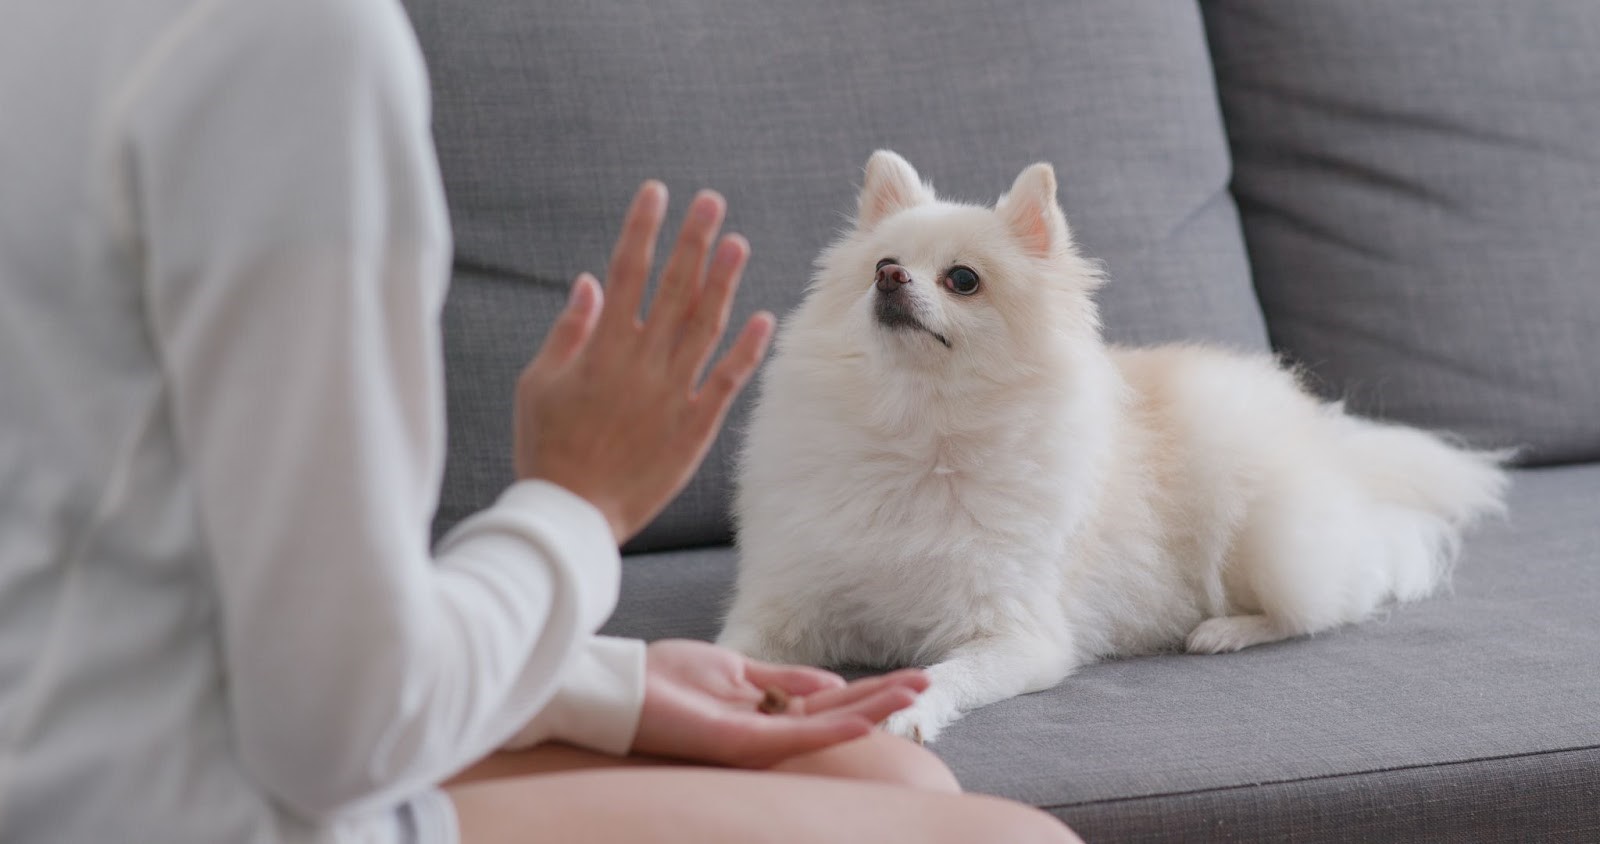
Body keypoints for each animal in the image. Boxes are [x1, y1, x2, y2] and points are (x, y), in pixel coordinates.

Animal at [720, 150, 1504, 738]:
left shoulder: (1017, 636)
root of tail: (1335, 445)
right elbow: (729, 650)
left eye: (963, 279)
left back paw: (1226, 629)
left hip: (1265, 535)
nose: (888, 278)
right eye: (881, 263)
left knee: (1327, 606)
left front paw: (903, 713)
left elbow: (942, 673)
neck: (919, 433)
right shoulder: (786, 603)